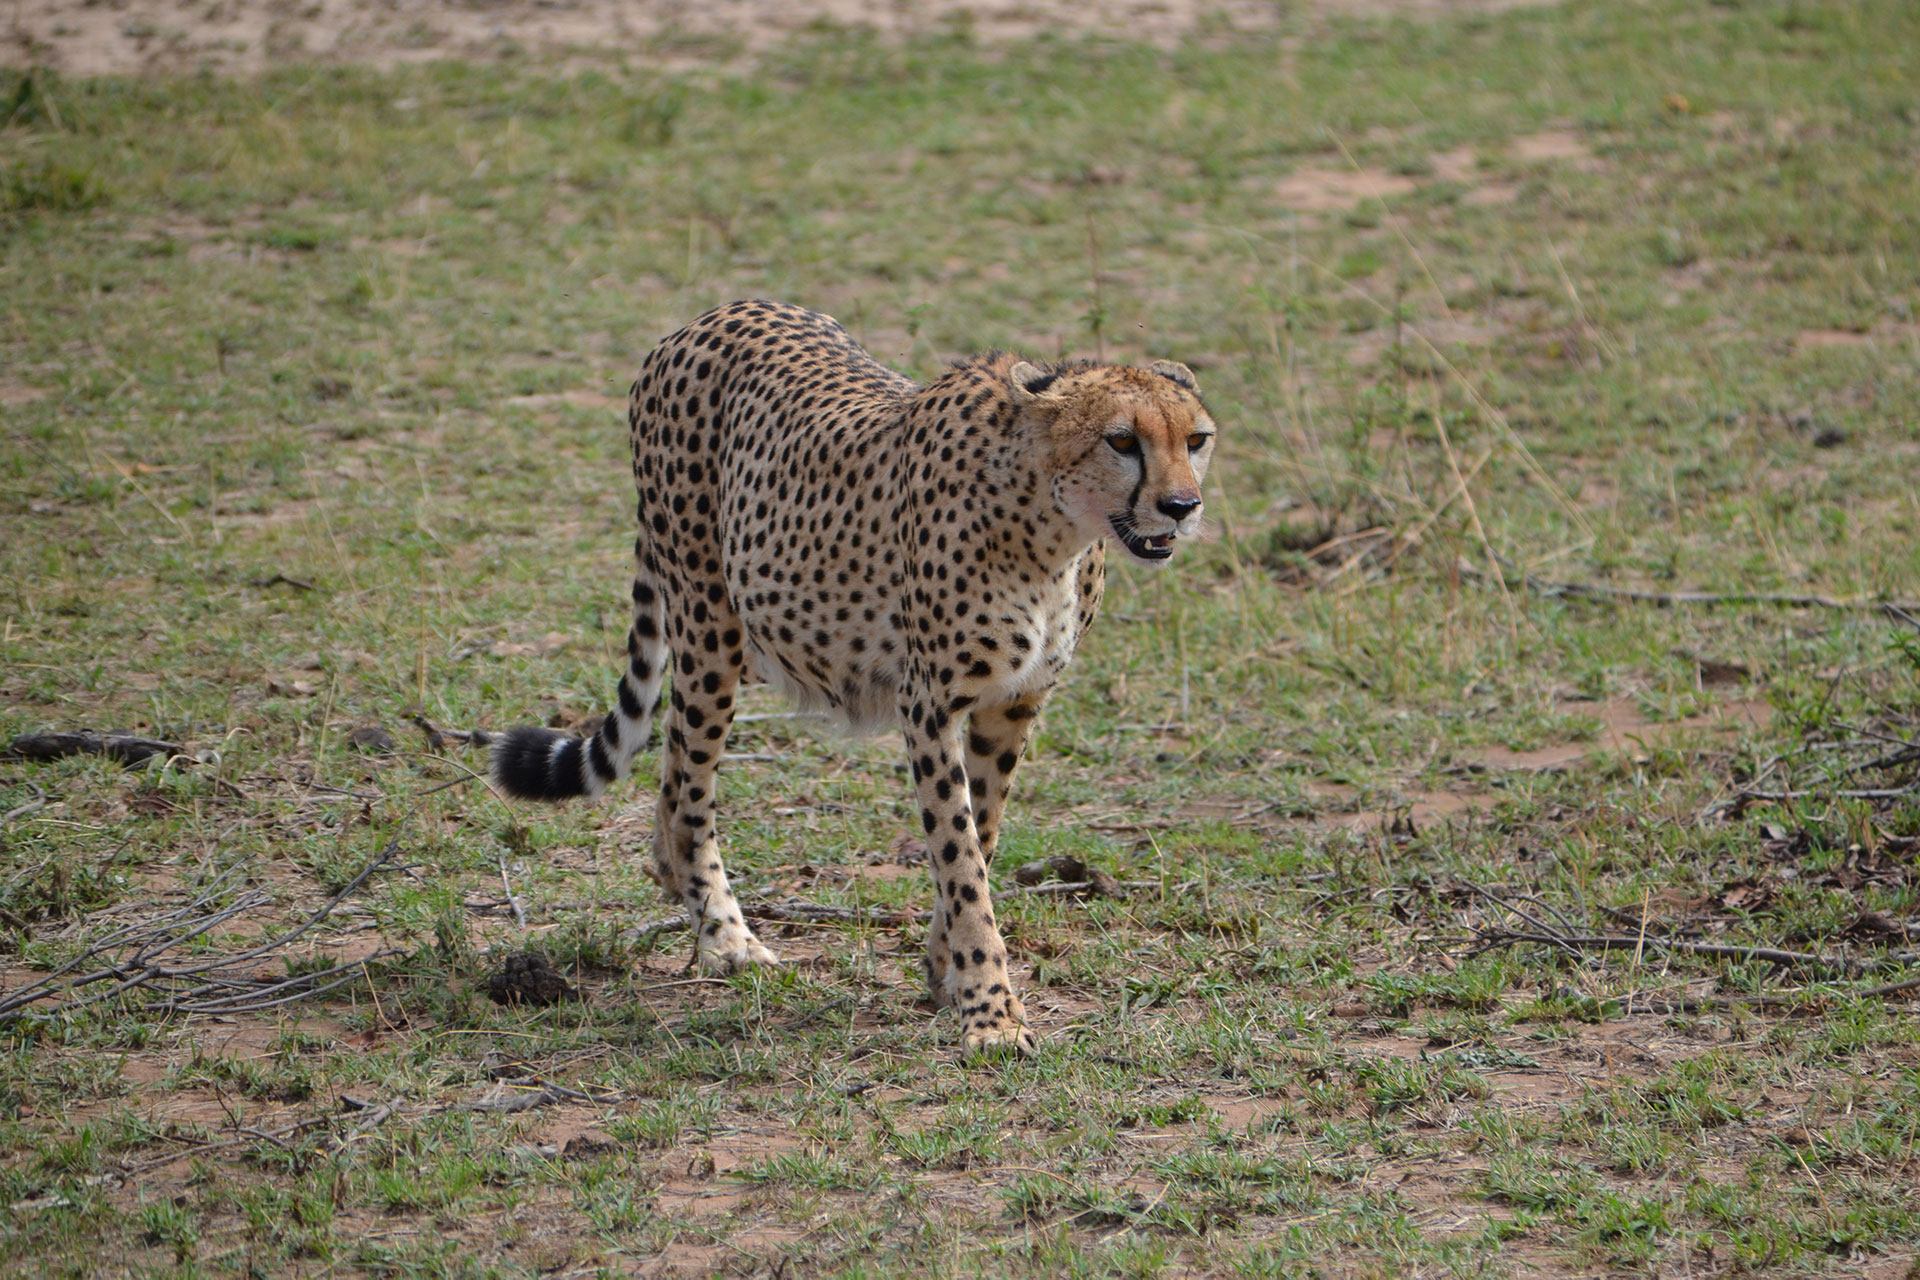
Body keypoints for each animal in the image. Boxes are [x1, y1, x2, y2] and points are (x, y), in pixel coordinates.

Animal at [491, 303, 1213, 1059]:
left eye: (1196, 439)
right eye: (1121, 440)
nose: (1182, 506)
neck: (1051, 525)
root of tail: (709, 316)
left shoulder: (1014, 703)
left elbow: (980, 839)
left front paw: (947, 971)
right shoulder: (928, 705)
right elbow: (959, 856)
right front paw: (991, 1012)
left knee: (669, 785)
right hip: (709, 627)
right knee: (685, 791)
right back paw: (726, 939)